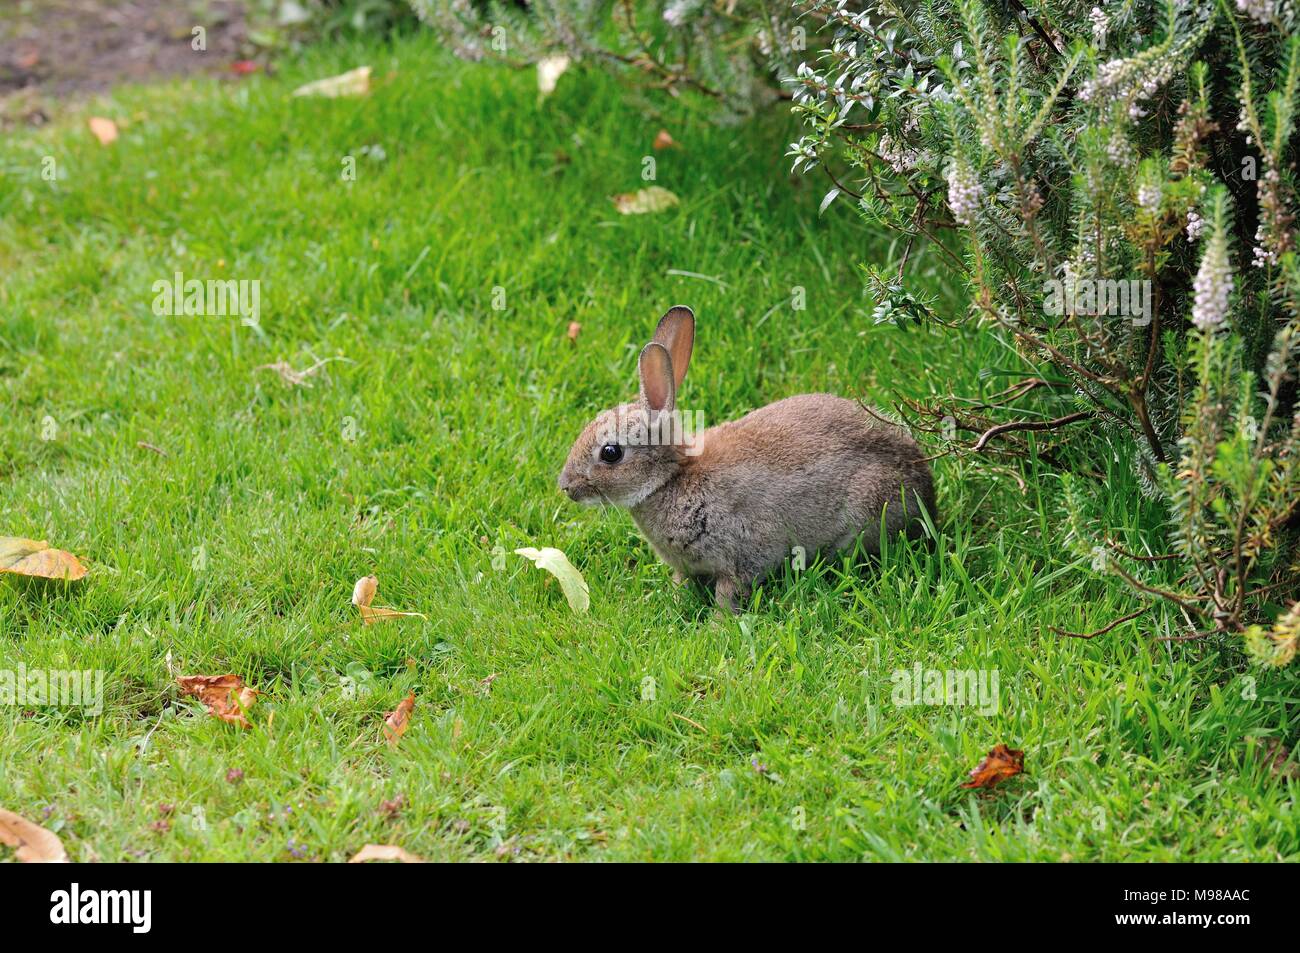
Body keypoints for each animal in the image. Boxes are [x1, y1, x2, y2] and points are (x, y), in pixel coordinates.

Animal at [559, 308, 935, 613]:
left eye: (611, 453)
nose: (566, 487)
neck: (672, 479)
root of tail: (927, 492)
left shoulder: (744, 552)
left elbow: (730, 590)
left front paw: (718, 625)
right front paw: (672, 598)